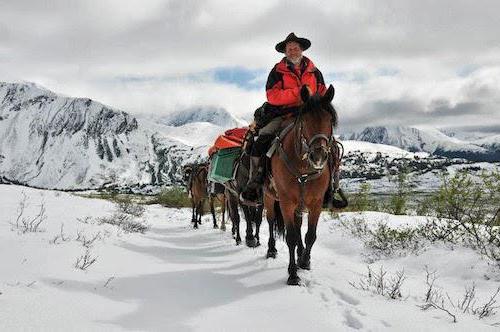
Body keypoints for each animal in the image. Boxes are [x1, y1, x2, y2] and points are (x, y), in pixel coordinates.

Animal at [264, 84, 338, 284]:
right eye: (304, 120)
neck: (303, 169)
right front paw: (292, 274)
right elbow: (290, 236)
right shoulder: (286, 202)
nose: (318, 156)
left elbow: (310, 235)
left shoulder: (316, 203)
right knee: (271, 221)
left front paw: (304, 261)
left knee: (298, 228)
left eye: (330, 120)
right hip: (269, 198)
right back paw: (271, 250)